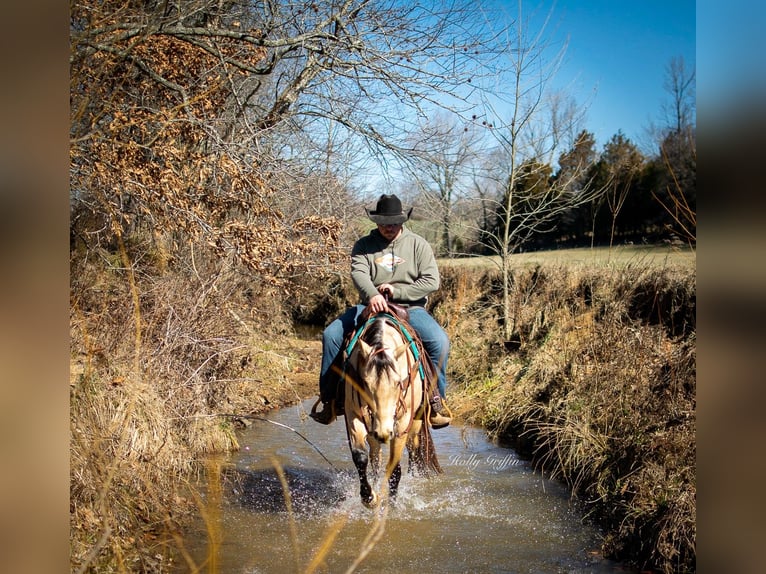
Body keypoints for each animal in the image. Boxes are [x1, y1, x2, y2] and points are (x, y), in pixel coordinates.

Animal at [344, 310, 444, 508]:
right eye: (365, 383)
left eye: (398, 383)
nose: (384, 433)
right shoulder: (354, 415)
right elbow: (360, 457)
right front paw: (369, 497)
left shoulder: (402, 423)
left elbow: (395, 468)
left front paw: (393, 505)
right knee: (375, 457)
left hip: (414, 426)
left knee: (413, 450)